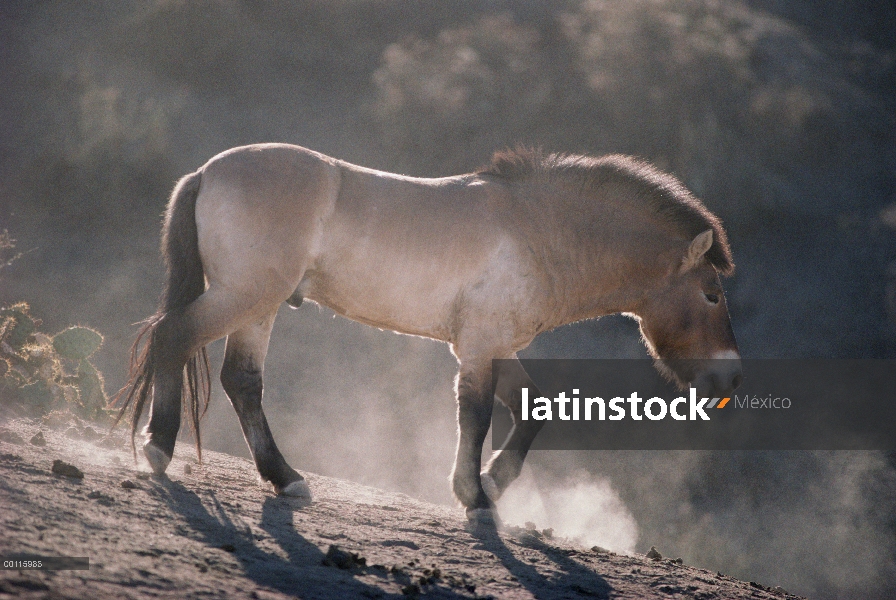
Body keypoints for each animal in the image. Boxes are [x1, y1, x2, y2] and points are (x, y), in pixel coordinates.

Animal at [115, 143, 740, 524]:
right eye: (712, 293)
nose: (729, 375)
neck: (538, 231)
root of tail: (206, 173)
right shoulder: (479, 348)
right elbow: (476, 416)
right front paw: (476, 496)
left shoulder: (495, 346)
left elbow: (532, 408)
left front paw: (495, 480)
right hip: (243, 298)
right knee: (175, 341)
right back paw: (159, 448)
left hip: (257, 308)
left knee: (241, 381)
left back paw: (284, 478)